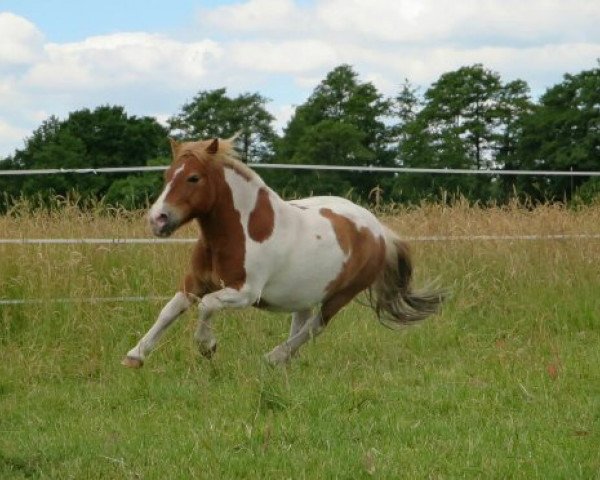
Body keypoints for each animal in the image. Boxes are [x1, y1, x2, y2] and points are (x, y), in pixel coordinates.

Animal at [120, 137, 446, 366]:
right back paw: (286, 362)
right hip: (306, 293)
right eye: (166, 176)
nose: (158, 219)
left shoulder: (245, 293)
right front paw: (135, 356)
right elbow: (169, 310)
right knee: (302, 324)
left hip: (340, 296)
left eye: (193, 178)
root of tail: (378, 230)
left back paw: (273, 358)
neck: (240, 231)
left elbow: (207, 305)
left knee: (315, 327)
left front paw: (207, 347)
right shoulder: (194, 283)